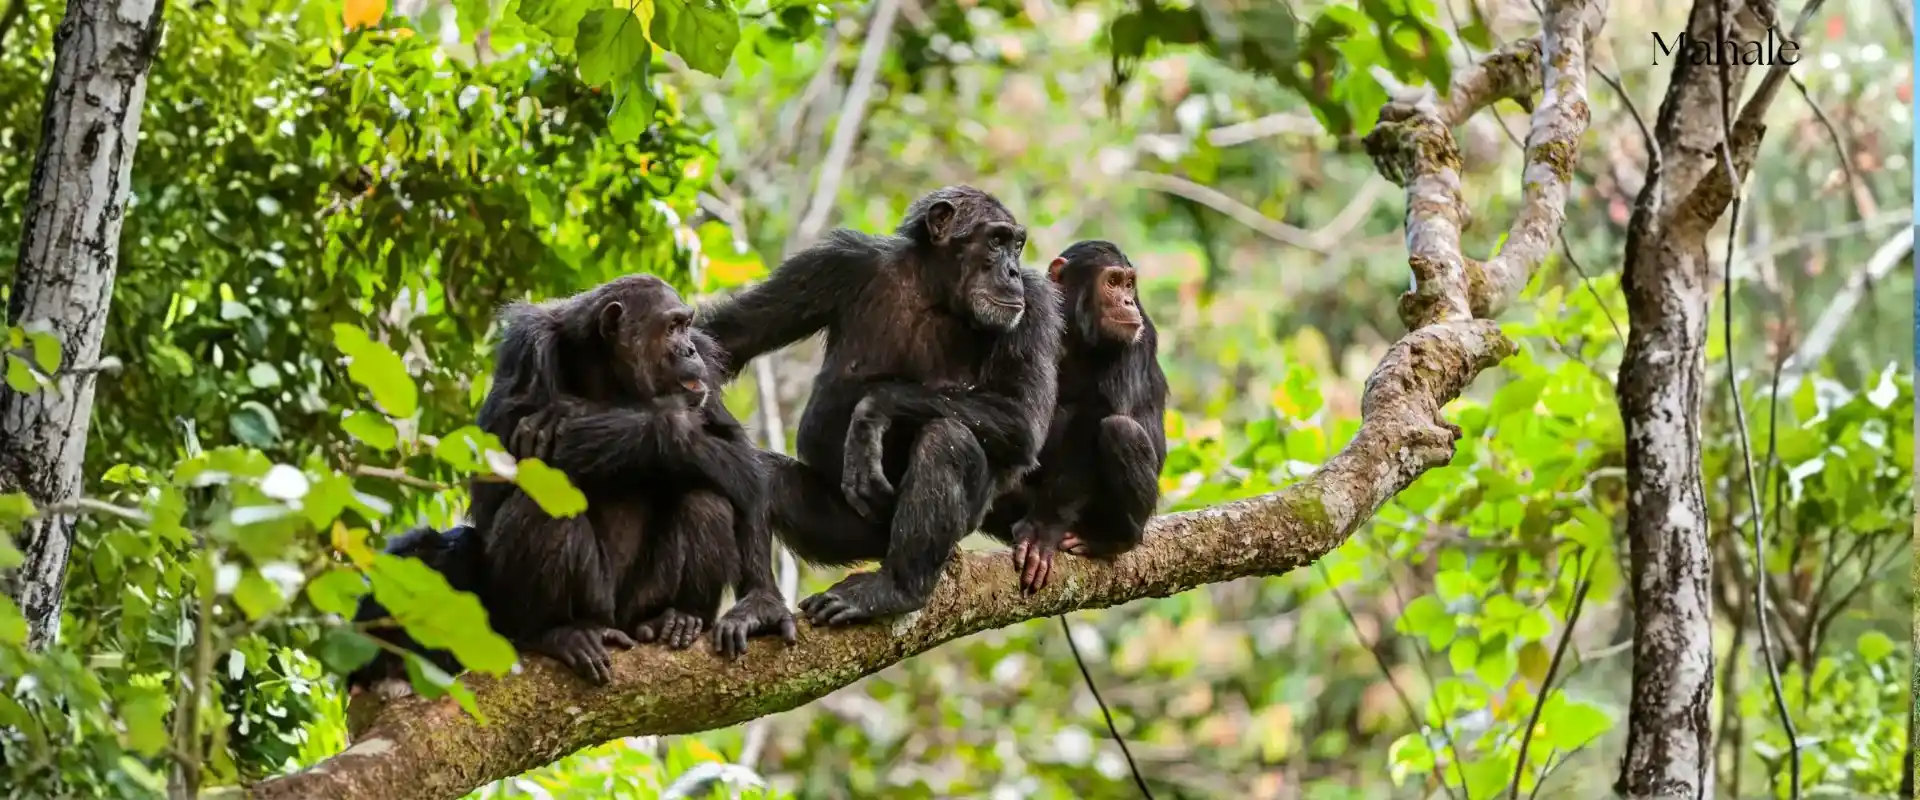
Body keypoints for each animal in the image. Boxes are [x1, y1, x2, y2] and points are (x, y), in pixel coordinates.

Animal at [696, 185, 1061, 626]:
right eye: (996, 240)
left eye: (1017, 245)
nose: (1011, 271)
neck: (935, 289)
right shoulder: (832, 264)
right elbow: (727, 338)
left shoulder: (1036, 306)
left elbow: (1023, 418)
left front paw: (871, 413)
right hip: (849, 531)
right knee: (760, 477)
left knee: (947, 438)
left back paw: (896, 589)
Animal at [981, 240, 1169, 592]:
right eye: (1112, 282)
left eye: (1129, 284)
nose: (1127, 301)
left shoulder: (1137, 340)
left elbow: (1095, 421)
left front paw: (1042, 532)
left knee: (1120, 431)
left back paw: (1111, 539)